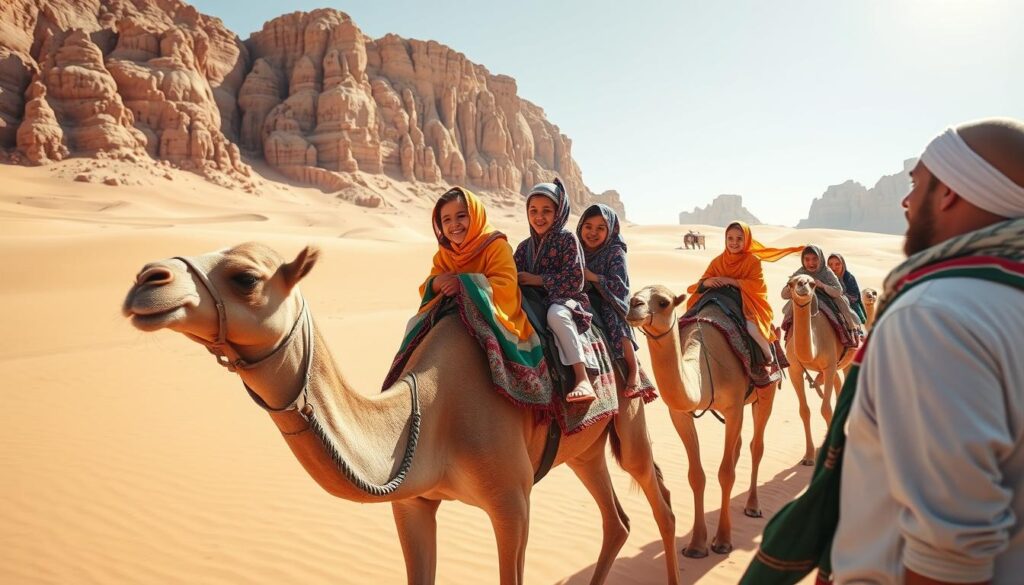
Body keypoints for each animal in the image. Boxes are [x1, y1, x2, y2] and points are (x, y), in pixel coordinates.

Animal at [121, 243, 680, 585]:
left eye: (245, 277)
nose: (148, 278)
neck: (429, 415)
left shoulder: (512, 503)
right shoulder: (411, 503)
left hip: (630, 418)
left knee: (657, 497)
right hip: (583, 448)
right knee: (617, 520)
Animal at [626, 285, 775, 557]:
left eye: (663, 302)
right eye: (633, 295)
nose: (634, 306)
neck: (705, 371)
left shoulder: (734, 407)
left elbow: (726, 473)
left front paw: (723, 541)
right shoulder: (680, 413)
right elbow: (696, 476)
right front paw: (697, 544)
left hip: (766, 390)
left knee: (756, 446)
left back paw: (752, 506)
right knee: (738, 447)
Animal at [785, 274, 856, 466]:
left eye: (813, 283)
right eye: (791, 283)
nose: (802, 285)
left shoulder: (829, 366)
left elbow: (826, 409)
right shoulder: (794, 370)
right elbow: (804, 411)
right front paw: (809, 457)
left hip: (849, 360)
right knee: (838, 385)